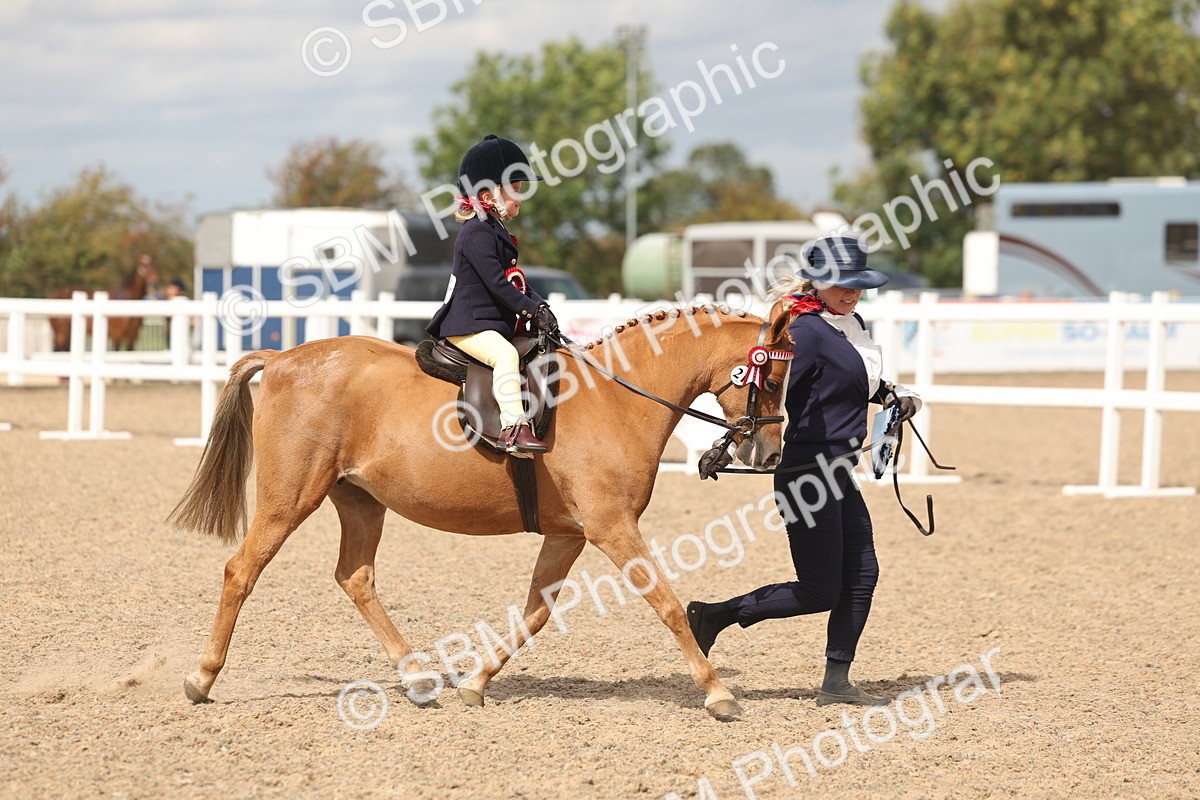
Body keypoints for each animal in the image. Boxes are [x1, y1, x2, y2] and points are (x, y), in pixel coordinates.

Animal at [167, 301, 794, 719]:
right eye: (773, 376)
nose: (768, 454)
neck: (617, 398)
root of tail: (282, 358)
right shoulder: (612, 527)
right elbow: (665, 603)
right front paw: (718, 692)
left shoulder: (569, 534)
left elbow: (536, 613)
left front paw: (476, 682)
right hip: (290, 497)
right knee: (242, 570)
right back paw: (201, 678)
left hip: (361, 501)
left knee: (355, 577)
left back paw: (418, 678)